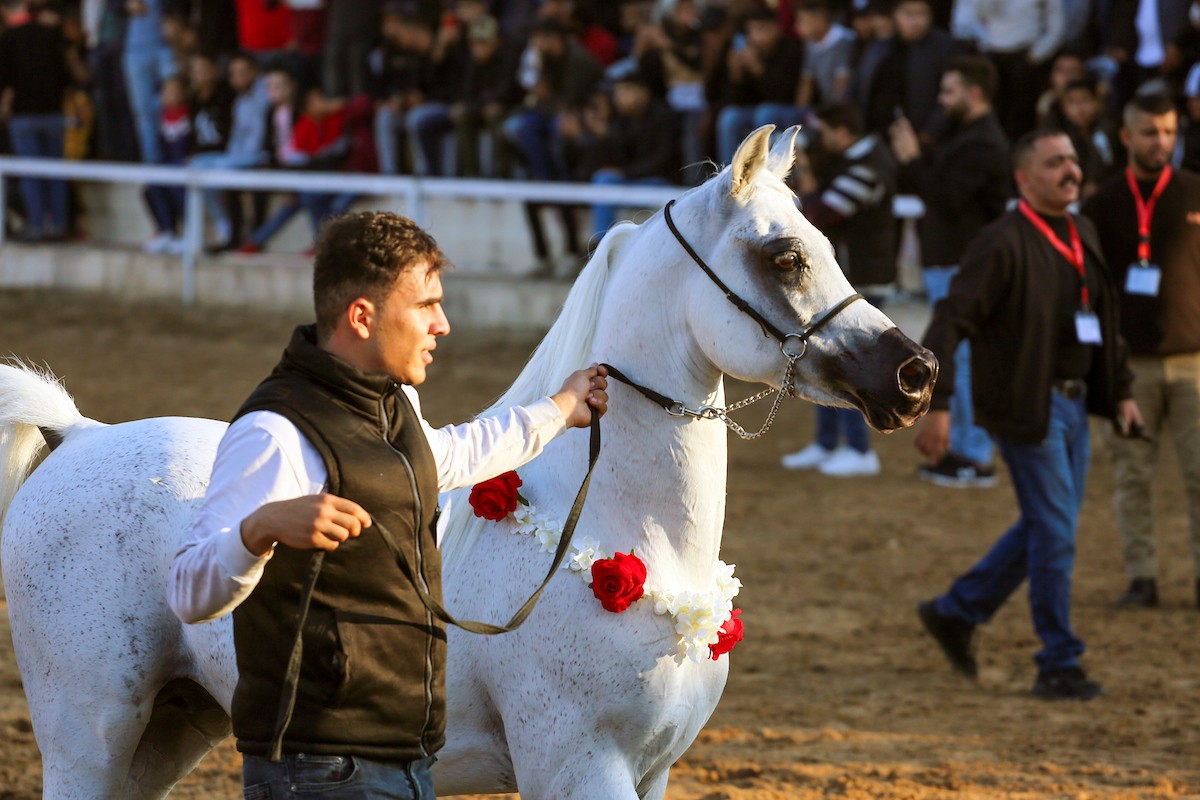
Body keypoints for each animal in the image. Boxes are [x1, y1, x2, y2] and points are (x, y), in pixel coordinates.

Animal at [0, 128, 936, 796]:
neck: (624, 536)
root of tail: (80, 436)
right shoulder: (579, 769)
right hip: (90, 732)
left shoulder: (653, 771)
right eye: (785, 255)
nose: (914, 373)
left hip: (174, 726)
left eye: (828, 243)